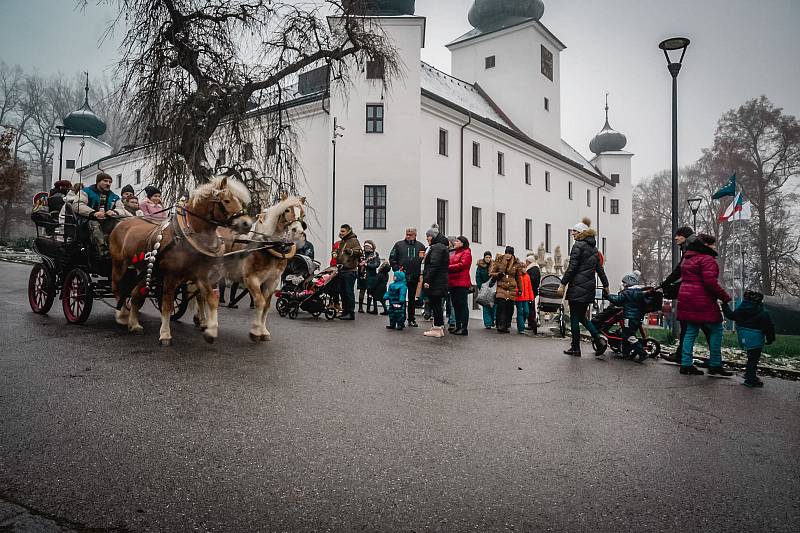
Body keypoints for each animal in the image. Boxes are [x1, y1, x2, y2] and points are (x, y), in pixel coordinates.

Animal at [109, 177, 252, 348]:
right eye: (226, 200)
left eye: (240, 201)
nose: (247, 223)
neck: (186, 236)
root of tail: (122, 222)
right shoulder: (171, 277)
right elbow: (167, 304)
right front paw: (165, 334)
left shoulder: (201, 276)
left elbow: (211, 299)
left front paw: (210, 331)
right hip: (119, 264)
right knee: (117, 288)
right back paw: (122, 316)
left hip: (145, 271)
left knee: (136, 293)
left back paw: (134, 324)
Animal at [205, 194, 304, 340]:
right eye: (287, 210)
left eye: (302, 213)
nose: (298, 231)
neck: (268, 246)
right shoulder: (252, 279)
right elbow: (260, 302)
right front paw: (256, 331)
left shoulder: (272, 281)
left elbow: (266, 306)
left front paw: (263, 331)